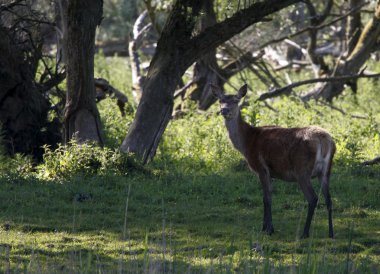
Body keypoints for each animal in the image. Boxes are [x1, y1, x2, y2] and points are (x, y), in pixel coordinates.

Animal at [211, 83, 336, 238]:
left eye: (235, 100)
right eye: (220, 100)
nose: (224, 110)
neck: (247, 142)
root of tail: (324, 140)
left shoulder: (261, 168)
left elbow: (266, 199)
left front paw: (268, 229)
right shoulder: (272, 174)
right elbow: (269, 196)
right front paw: (267, 227)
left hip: (302, 170)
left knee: (313, 198)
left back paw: (305, 233)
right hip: (325, 171)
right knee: (329, 199)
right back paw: (331, 233)